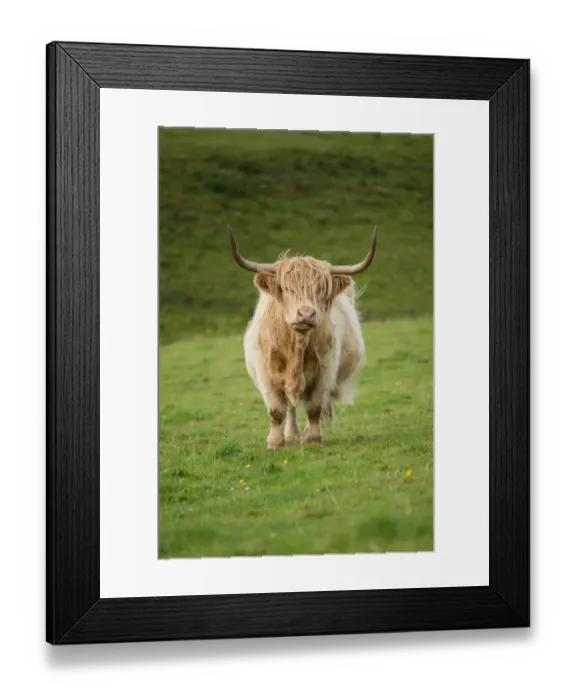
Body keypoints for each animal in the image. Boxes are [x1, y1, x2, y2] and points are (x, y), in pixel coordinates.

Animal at [228, 225, 377, 450]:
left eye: (321, 290)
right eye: (286, 288)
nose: (306, 314)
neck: (296, 346)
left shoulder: (324, 372)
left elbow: (314, 407)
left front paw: (314, 439)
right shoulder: (266, 374)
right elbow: (276, 410)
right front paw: (275, 443)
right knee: (290, 407)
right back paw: (291, 435)